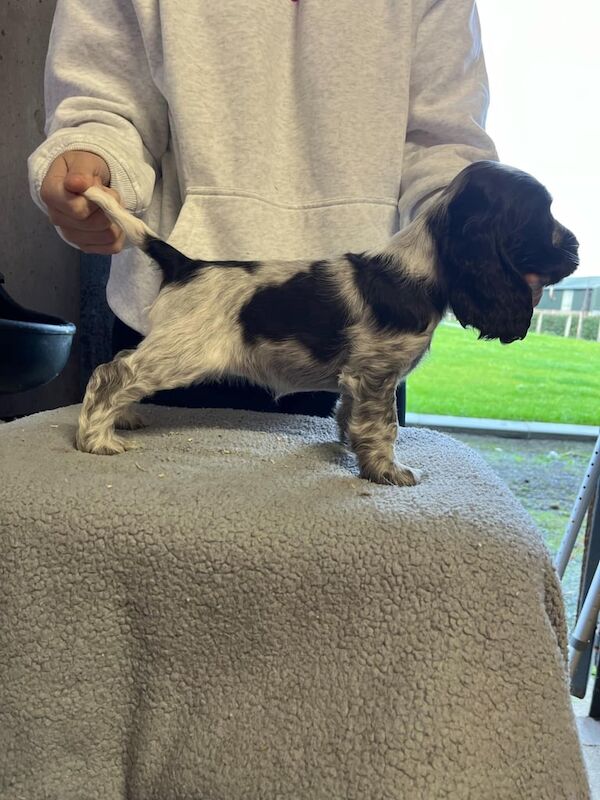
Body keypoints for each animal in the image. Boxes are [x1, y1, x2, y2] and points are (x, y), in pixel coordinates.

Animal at [77, 162, 580, 484]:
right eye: (540, 216)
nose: (576, 249)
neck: (420, 268)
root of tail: (187, 264)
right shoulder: (377, 374)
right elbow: (383, 426)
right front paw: (386, 471)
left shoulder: (358, 376)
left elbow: (350, 414)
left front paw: (351, 449)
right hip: (183, 352)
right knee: (112, 372)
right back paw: (97, 438)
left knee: (123, 360)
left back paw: (124, 418)